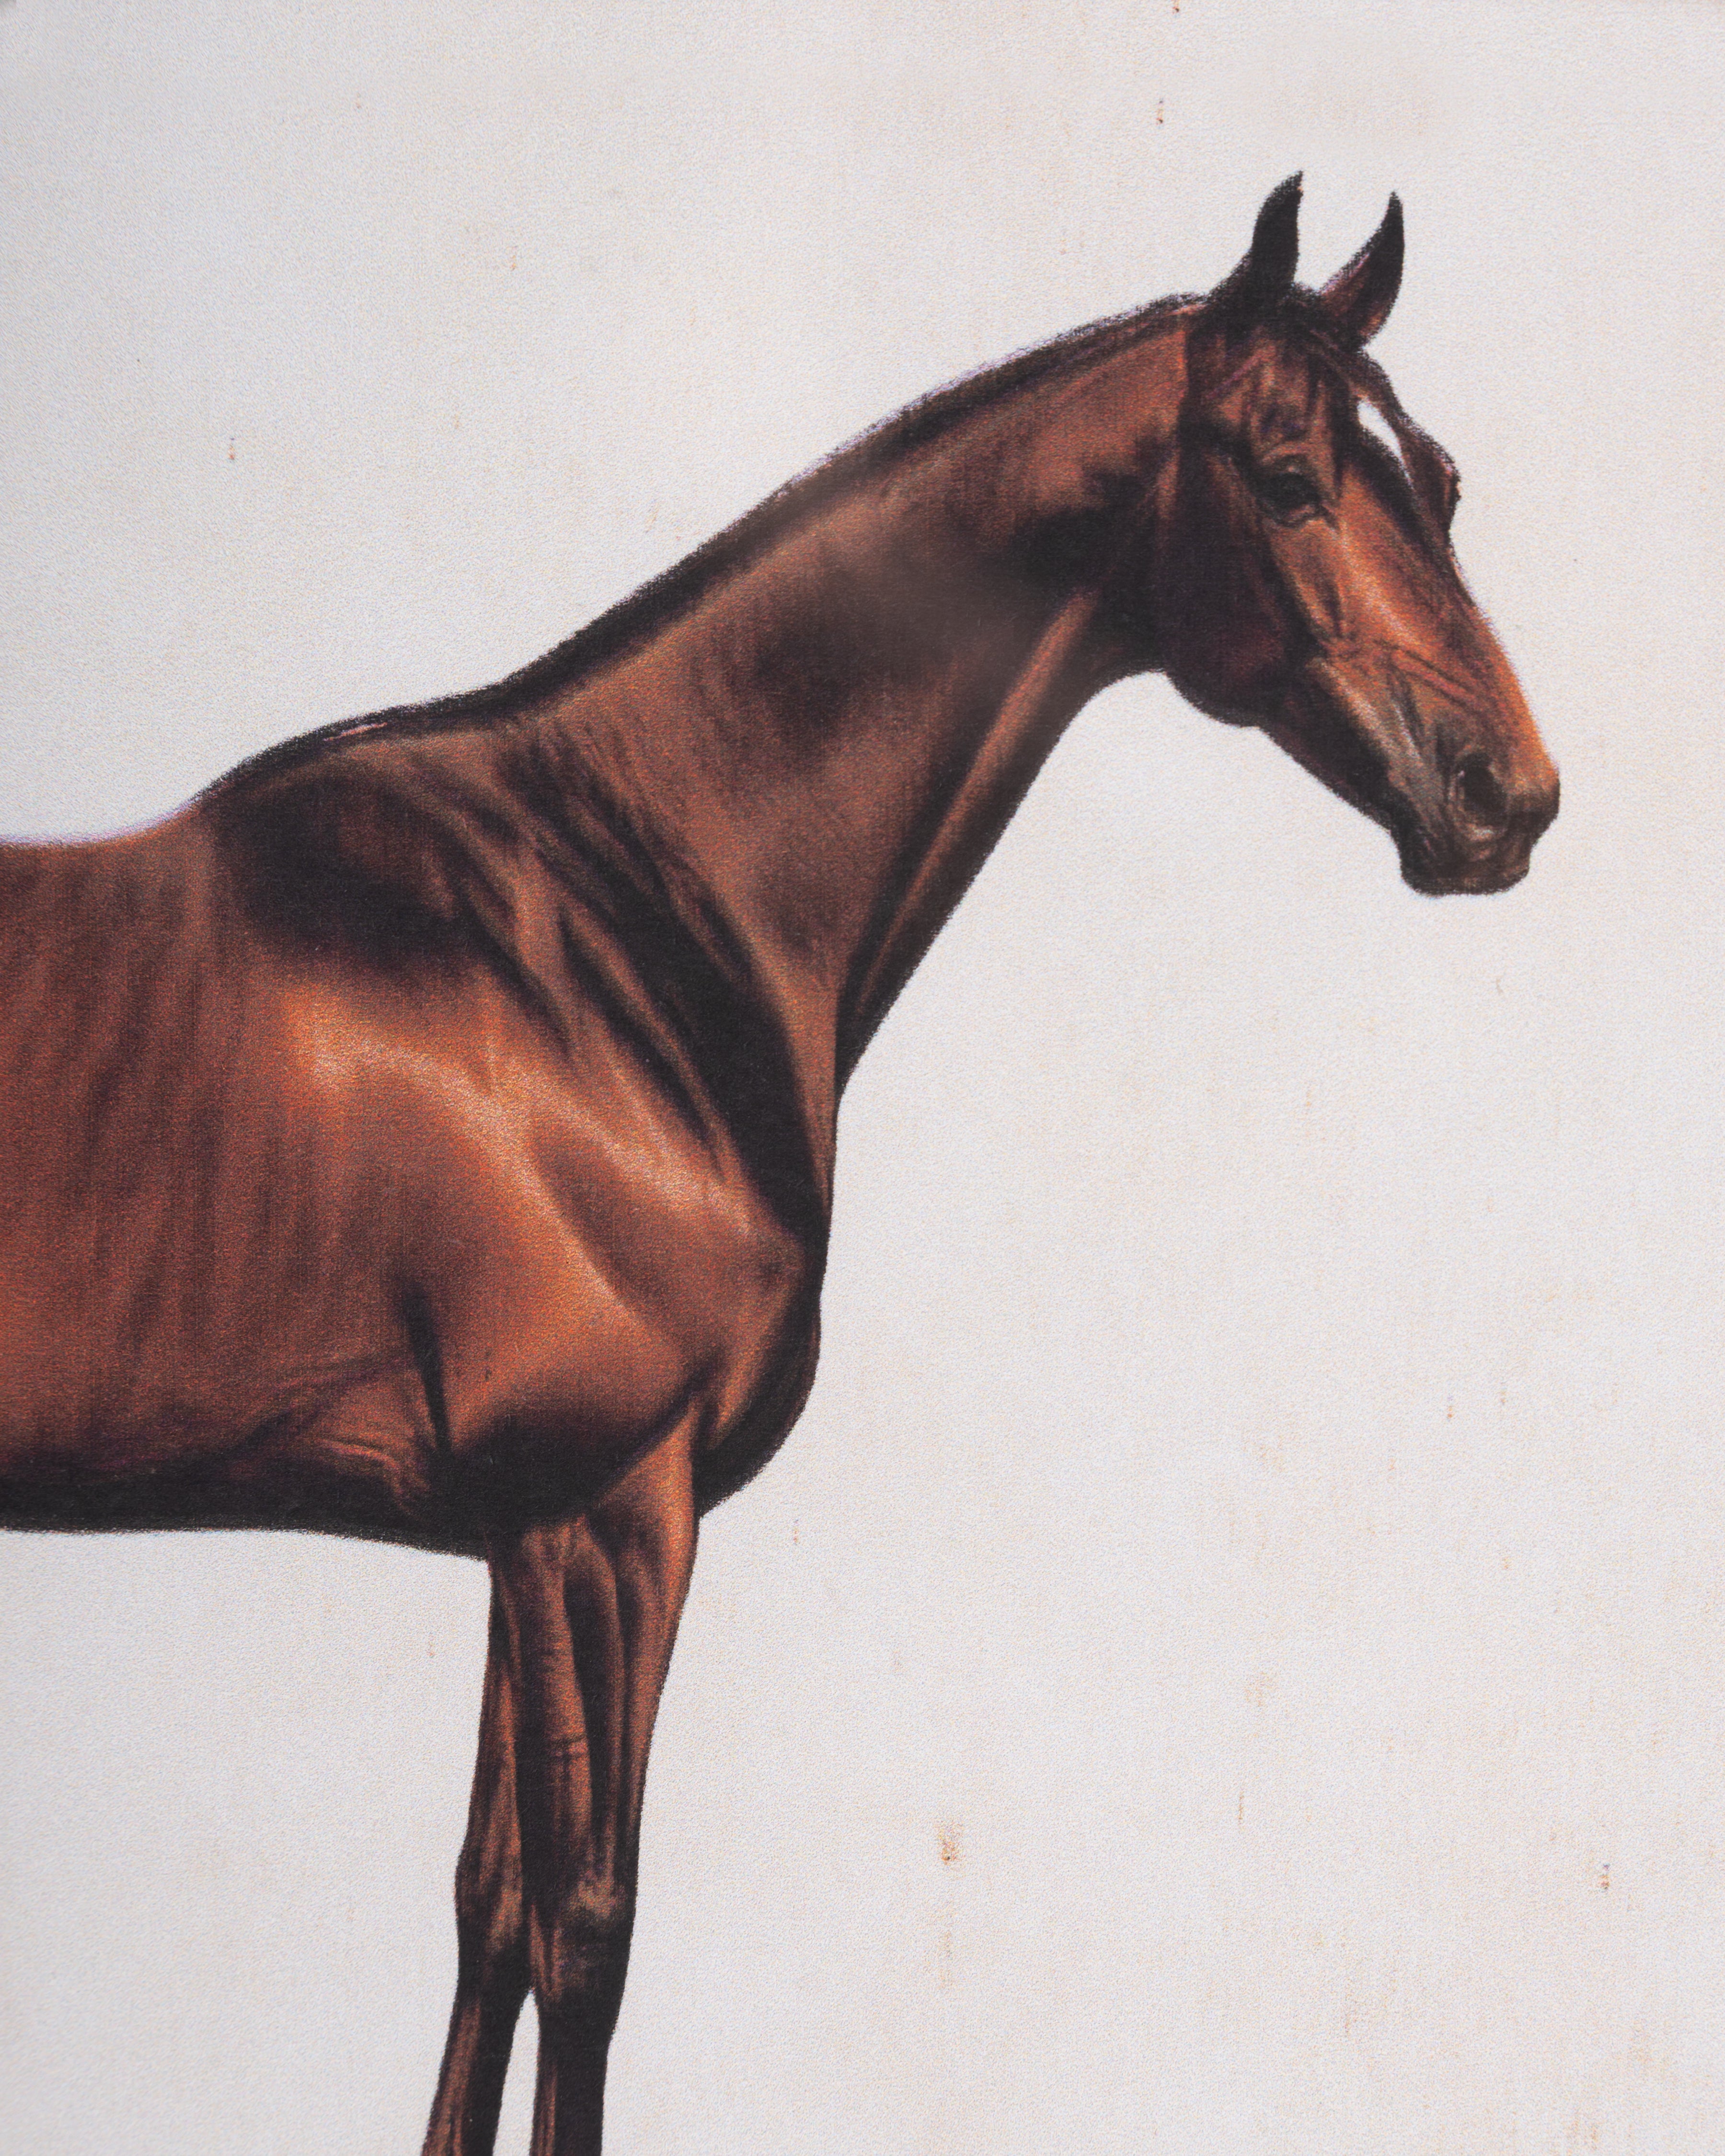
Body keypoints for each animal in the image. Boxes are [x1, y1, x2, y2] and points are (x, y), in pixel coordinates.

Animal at [0, 178, 1557, 2155]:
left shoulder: (521, 1527)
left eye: (1438, 478)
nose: (1509, 797)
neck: (605, 922)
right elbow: (586, 1932)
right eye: (1289, 474)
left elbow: (486, 1913)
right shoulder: (606, 1511)